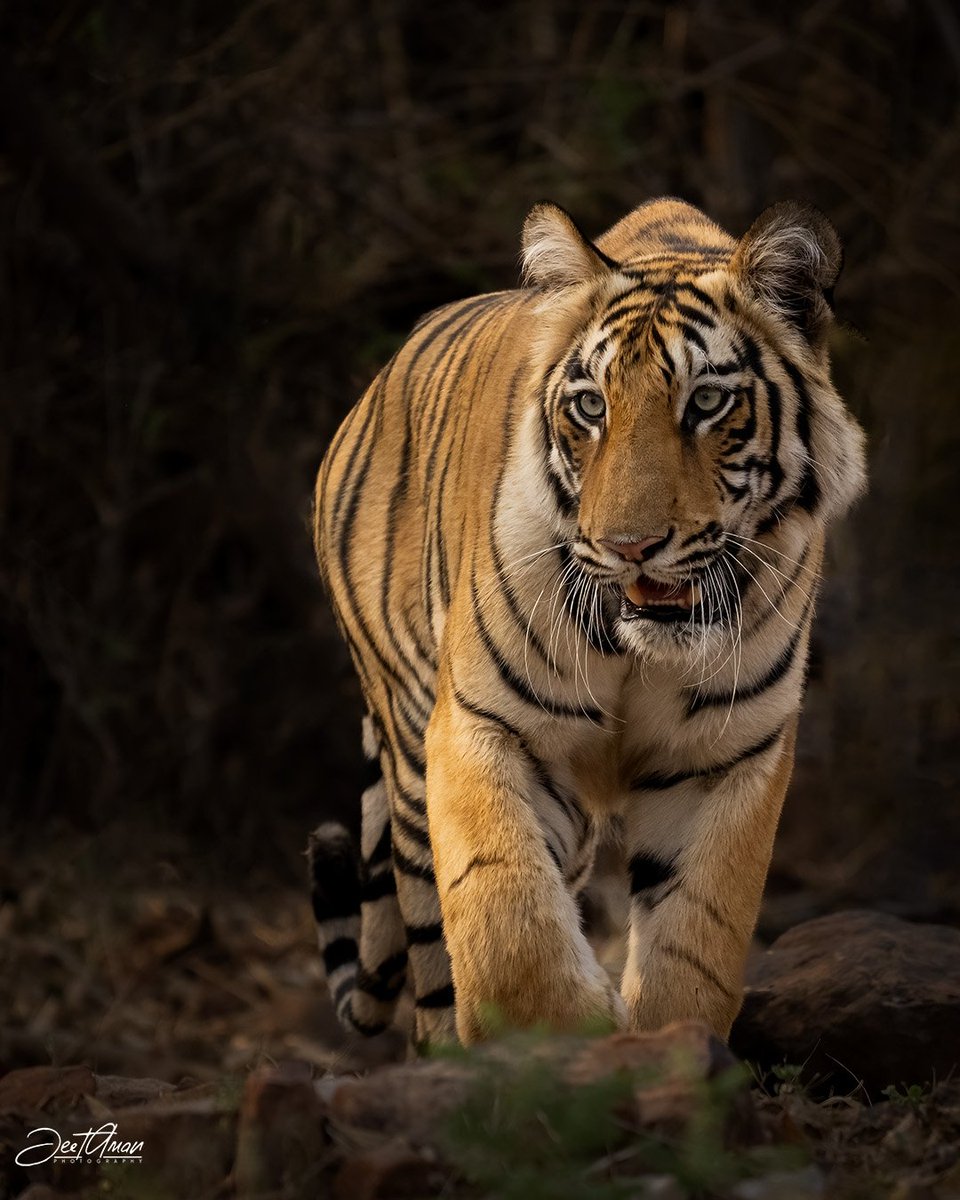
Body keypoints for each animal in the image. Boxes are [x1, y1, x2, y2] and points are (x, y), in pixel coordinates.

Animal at [309, 192, 868, 1046]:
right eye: (591, 406)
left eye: (707, 402)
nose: (629, 547)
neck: (642, 648)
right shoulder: (486, 724)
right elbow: (507, 923)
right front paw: (555, 1044)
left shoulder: (728, 754)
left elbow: (695, 947)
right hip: (407, 757)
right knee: (433, 952)